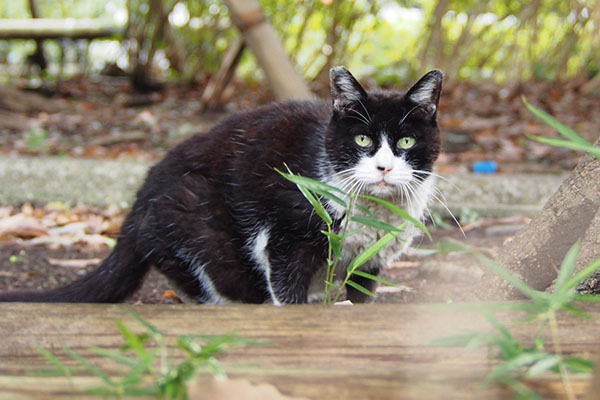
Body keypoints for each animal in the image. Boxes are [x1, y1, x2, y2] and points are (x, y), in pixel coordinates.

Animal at [0, 66, 440, 304]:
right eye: (362, 139)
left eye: (405, 142)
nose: (383, 168)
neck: (374, 212)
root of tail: (137, 203)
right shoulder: (286, 233)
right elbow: (288, 288)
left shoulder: (370, 260)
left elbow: (362, 293)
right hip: (188, 218)